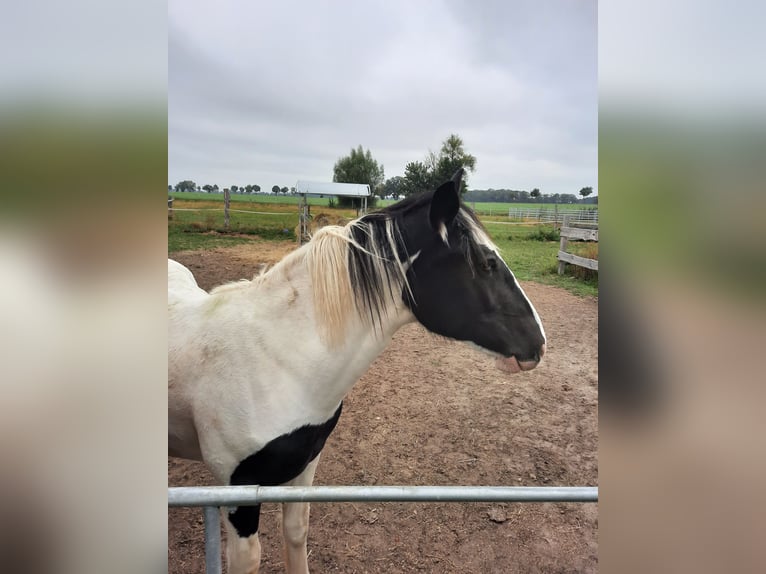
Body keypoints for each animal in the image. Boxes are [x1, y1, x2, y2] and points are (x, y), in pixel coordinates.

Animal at [171, 171, 548, 574]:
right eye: (486, 263)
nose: (540, 342)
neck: (276, 360)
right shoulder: (237, 489)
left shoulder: (305, 466)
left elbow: (296, 532)